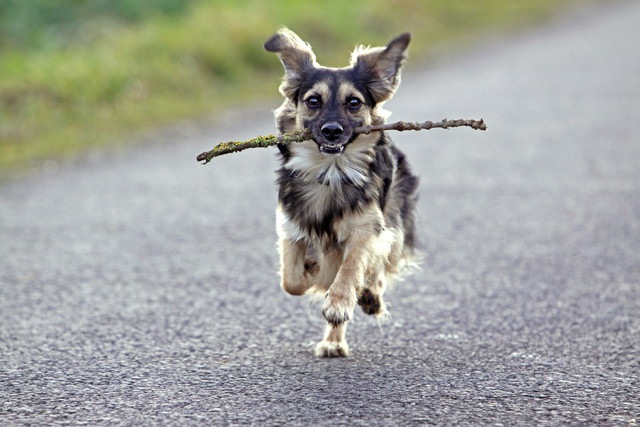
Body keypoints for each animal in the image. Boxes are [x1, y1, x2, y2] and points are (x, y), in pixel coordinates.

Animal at [264, 27, 420, 358]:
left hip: (394, 221)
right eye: (313, 100)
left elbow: (351, 268)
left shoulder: (367, 228)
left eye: (354, 102)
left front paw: (338, 302)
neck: (330, 172)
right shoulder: (290, 227)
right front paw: (312, 271)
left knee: (376, 266)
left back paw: (367, 299)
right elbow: (291, 281)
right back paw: (333, 340)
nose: (332, 131)